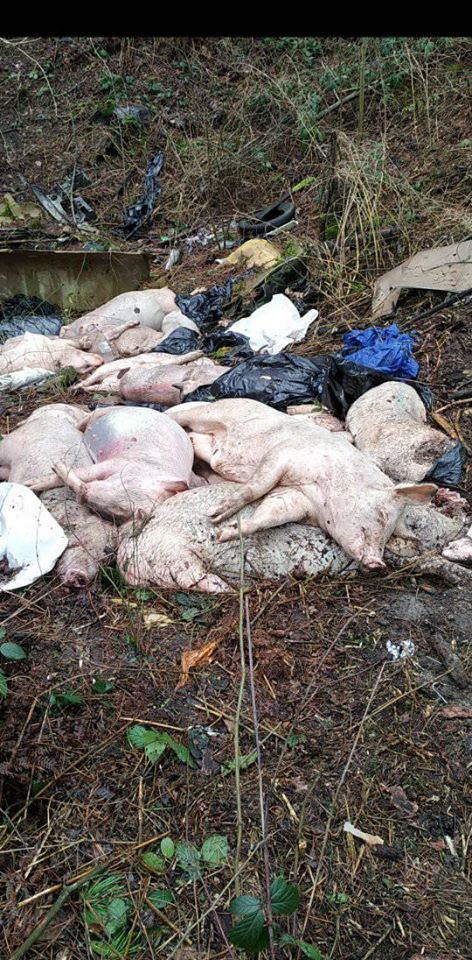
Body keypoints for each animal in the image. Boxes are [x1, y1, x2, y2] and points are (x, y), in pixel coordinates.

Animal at [53, 406, 195, 521]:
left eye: (119, 509)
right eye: (126, 481)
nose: (83, 493)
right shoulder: (119, 462)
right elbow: (83, 472)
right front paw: (55, 465)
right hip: (110, 410)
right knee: (91, 415)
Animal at [117, 482, 471, 593]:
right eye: (416, 523)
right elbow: (428, 560)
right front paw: (462, 578)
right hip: (177, 560)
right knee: (204, 582)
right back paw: (235, 588)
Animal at [167, 398, 438, 570]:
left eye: (392, 533)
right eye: (382, 516)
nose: (377, 564)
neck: (322, 492)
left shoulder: (297, 499)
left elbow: (270, 515)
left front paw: (224, 534)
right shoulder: (282, 456)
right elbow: (256, 488)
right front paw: (214, 516)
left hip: (209, 444)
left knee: (199, 443)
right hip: (216, 412)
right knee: (182, 416)